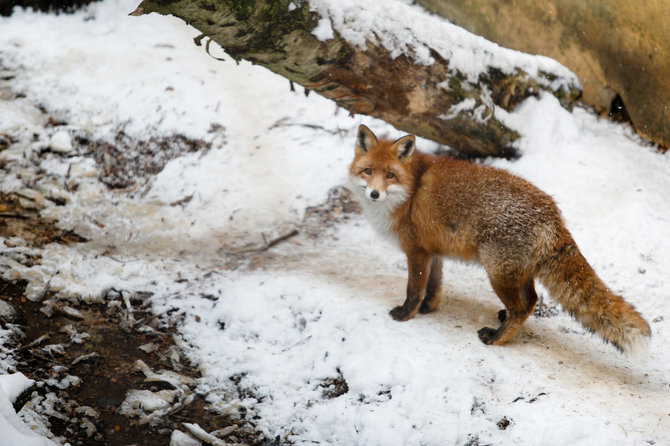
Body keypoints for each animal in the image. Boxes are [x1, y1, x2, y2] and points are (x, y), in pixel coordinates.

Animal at [350, 123, 652, 354]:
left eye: (390, 175)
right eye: (368, 171)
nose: (374, 194)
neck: (411, 191)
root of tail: (552, 212)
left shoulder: (416, 251)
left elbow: (413, 289)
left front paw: (406, 315)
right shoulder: (433, 251)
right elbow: (433, 288)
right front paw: (429, 309)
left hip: (497, 273)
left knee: (521, 308)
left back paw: (496, 338)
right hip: (517, 272)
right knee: (531, 301)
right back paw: (505, 322)